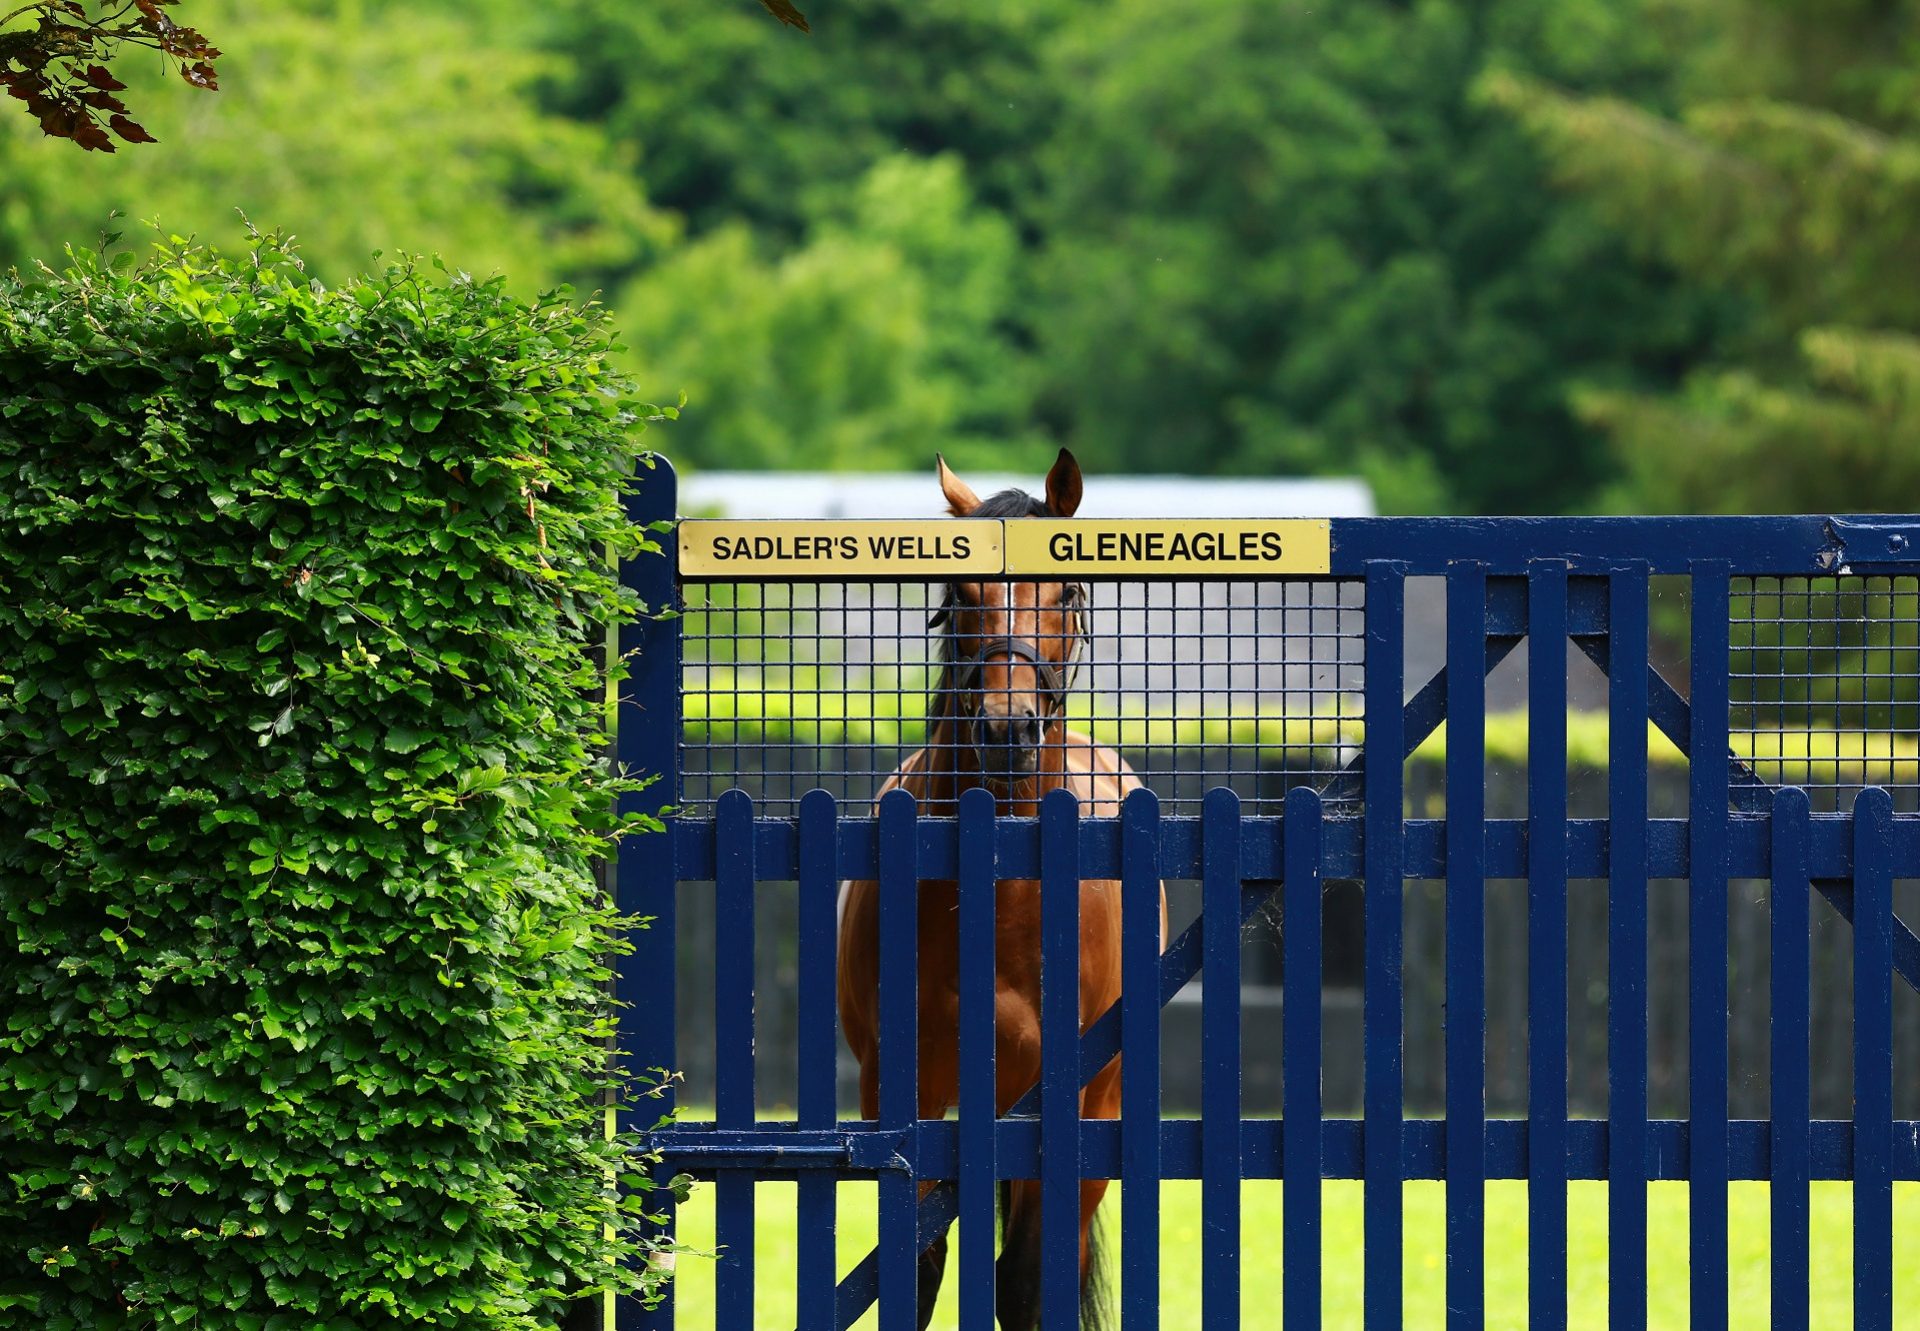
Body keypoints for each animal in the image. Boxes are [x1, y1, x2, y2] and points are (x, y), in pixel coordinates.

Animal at [833, 451, 1159, 1321]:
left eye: (1068, 590)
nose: (1009, 728)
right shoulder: (903, 1095)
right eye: (958, 591)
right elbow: (918, 1265)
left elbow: (1025, 1277)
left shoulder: (1066, 1110)